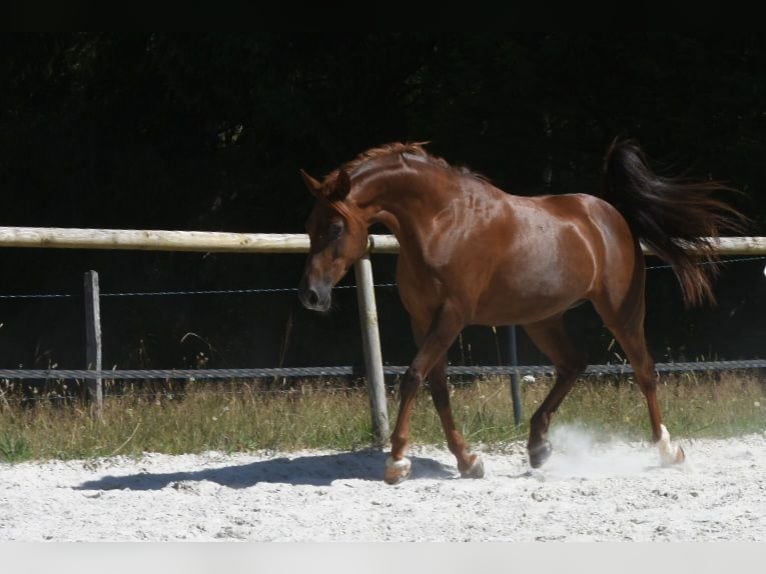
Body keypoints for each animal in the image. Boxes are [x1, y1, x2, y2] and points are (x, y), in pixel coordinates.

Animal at [297, 139, 747, 484]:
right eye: (309, 225)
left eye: (335, 227)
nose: (311, 296)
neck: (441, 222)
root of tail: (612, 214)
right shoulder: (422, 319)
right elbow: (438, 386)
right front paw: (468, 461)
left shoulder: (451, 316)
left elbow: (413, 377)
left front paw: (397, 462)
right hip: (541, 319)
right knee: (573, 364)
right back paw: (538, 447)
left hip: (621, 310)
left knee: (645, 371)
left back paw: (667, 450)